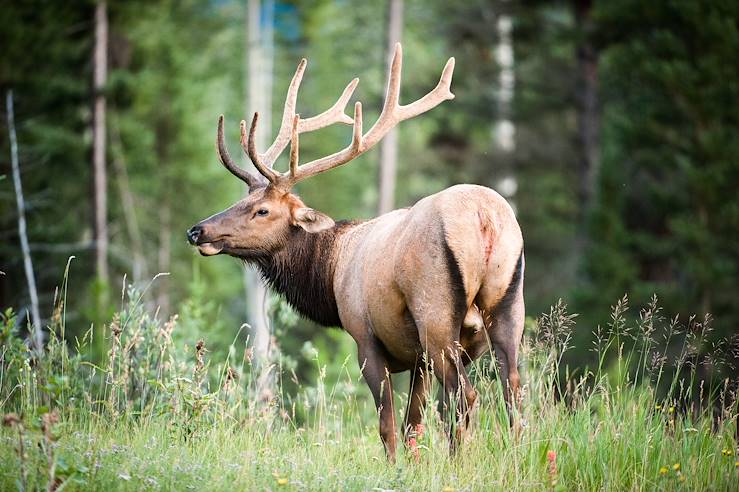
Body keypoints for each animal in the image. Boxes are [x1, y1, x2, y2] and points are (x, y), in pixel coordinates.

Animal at [191, 43, 528, 462]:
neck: (330, 271)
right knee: (513, 392)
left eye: (262, 210)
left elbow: (388, 424)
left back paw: (457, 464)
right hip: (509, 305)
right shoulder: (418, 358)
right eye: (242, 200)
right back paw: (516, 459)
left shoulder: (365, 335)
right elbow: (414, 421)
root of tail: (485, 218)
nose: (197, 230)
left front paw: (396, 466)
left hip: (436, 314)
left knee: (464, 395)